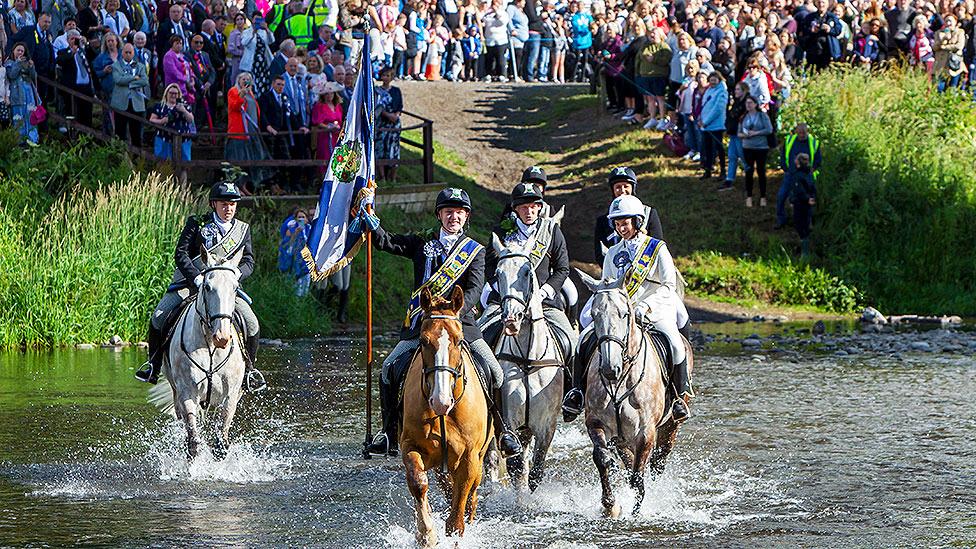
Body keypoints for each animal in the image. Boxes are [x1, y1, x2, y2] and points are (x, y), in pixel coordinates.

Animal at [150, 245, 248, 458]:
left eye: (235, 288)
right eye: (207, 287)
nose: (222, 337)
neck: (210, 347)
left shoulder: (230, 396)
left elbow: (221, 444)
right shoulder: (188, 392)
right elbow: (193, 443)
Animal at [398, 284, 492, 544]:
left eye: (459, 341)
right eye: (423, 340)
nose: (441, 401)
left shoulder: (470, 459)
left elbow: (457, 518)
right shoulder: (410, 445)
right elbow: (419, 483)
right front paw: (426, 533)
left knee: (470, 498)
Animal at [484, 229, 576, 490]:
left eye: (527, 272)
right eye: (498, 273)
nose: (511, 319)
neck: (526, 360)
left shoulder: (546, 425)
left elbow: (535, 472)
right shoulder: (509, 421)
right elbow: (516, 469)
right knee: (492, 459)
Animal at [576, 272, 692, 516]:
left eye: (625, 313)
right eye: (594, 314)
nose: (610, 368)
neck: (620, 381)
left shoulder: (646, 432)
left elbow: (638, 477)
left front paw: (636, 513)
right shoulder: (596, 423)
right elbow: (602, 458)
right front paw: (610, 505)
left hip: (671, 425)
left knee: (658, 461)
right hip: (622, 438)